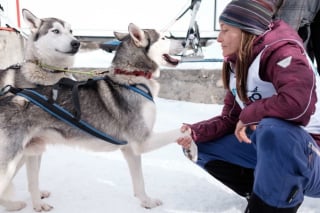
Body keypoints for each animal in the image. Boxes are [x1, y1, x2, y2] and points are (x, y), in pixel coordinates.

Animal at [0, 22, 198, 211]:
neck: (132, 78)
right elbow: (184, 131)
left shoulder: (130, 149)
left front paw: (145, 201)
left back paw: (27, 205)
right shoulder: (143, 141)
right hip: (10, 162)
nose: (186, 42)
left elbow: (139, 182)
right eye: (164, 37)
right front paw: (192, 149)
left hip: (27, 153)